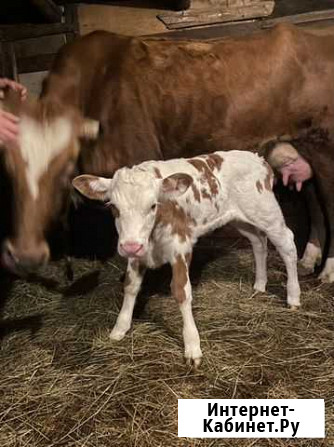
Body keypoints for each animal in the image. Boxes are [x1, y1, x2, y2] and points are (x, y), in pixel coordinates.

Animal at [1, 23, 334, 280]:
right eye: (10, 172)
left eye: (64, 170)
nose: (26, 255)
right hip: (302, 147)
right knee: (313, 199)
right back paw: (308, 259)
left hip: (325, 145)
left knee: (329, 203)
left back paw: (327, 271)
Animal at [72, 150, 300, 368]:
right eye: (113, 207)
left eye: (153, 205)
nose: (130, 246)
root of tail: (259, 159)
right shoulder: (139, 253)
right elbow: (130, 286)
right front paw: (119, 328)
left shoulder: (180, 247)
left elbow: (181, 291)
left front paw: (192, 347)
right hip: (240, 219)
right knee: (258, 242)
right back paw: (260, 285)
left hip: (267, 213)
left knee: (287, 244)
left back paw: (293, 297)